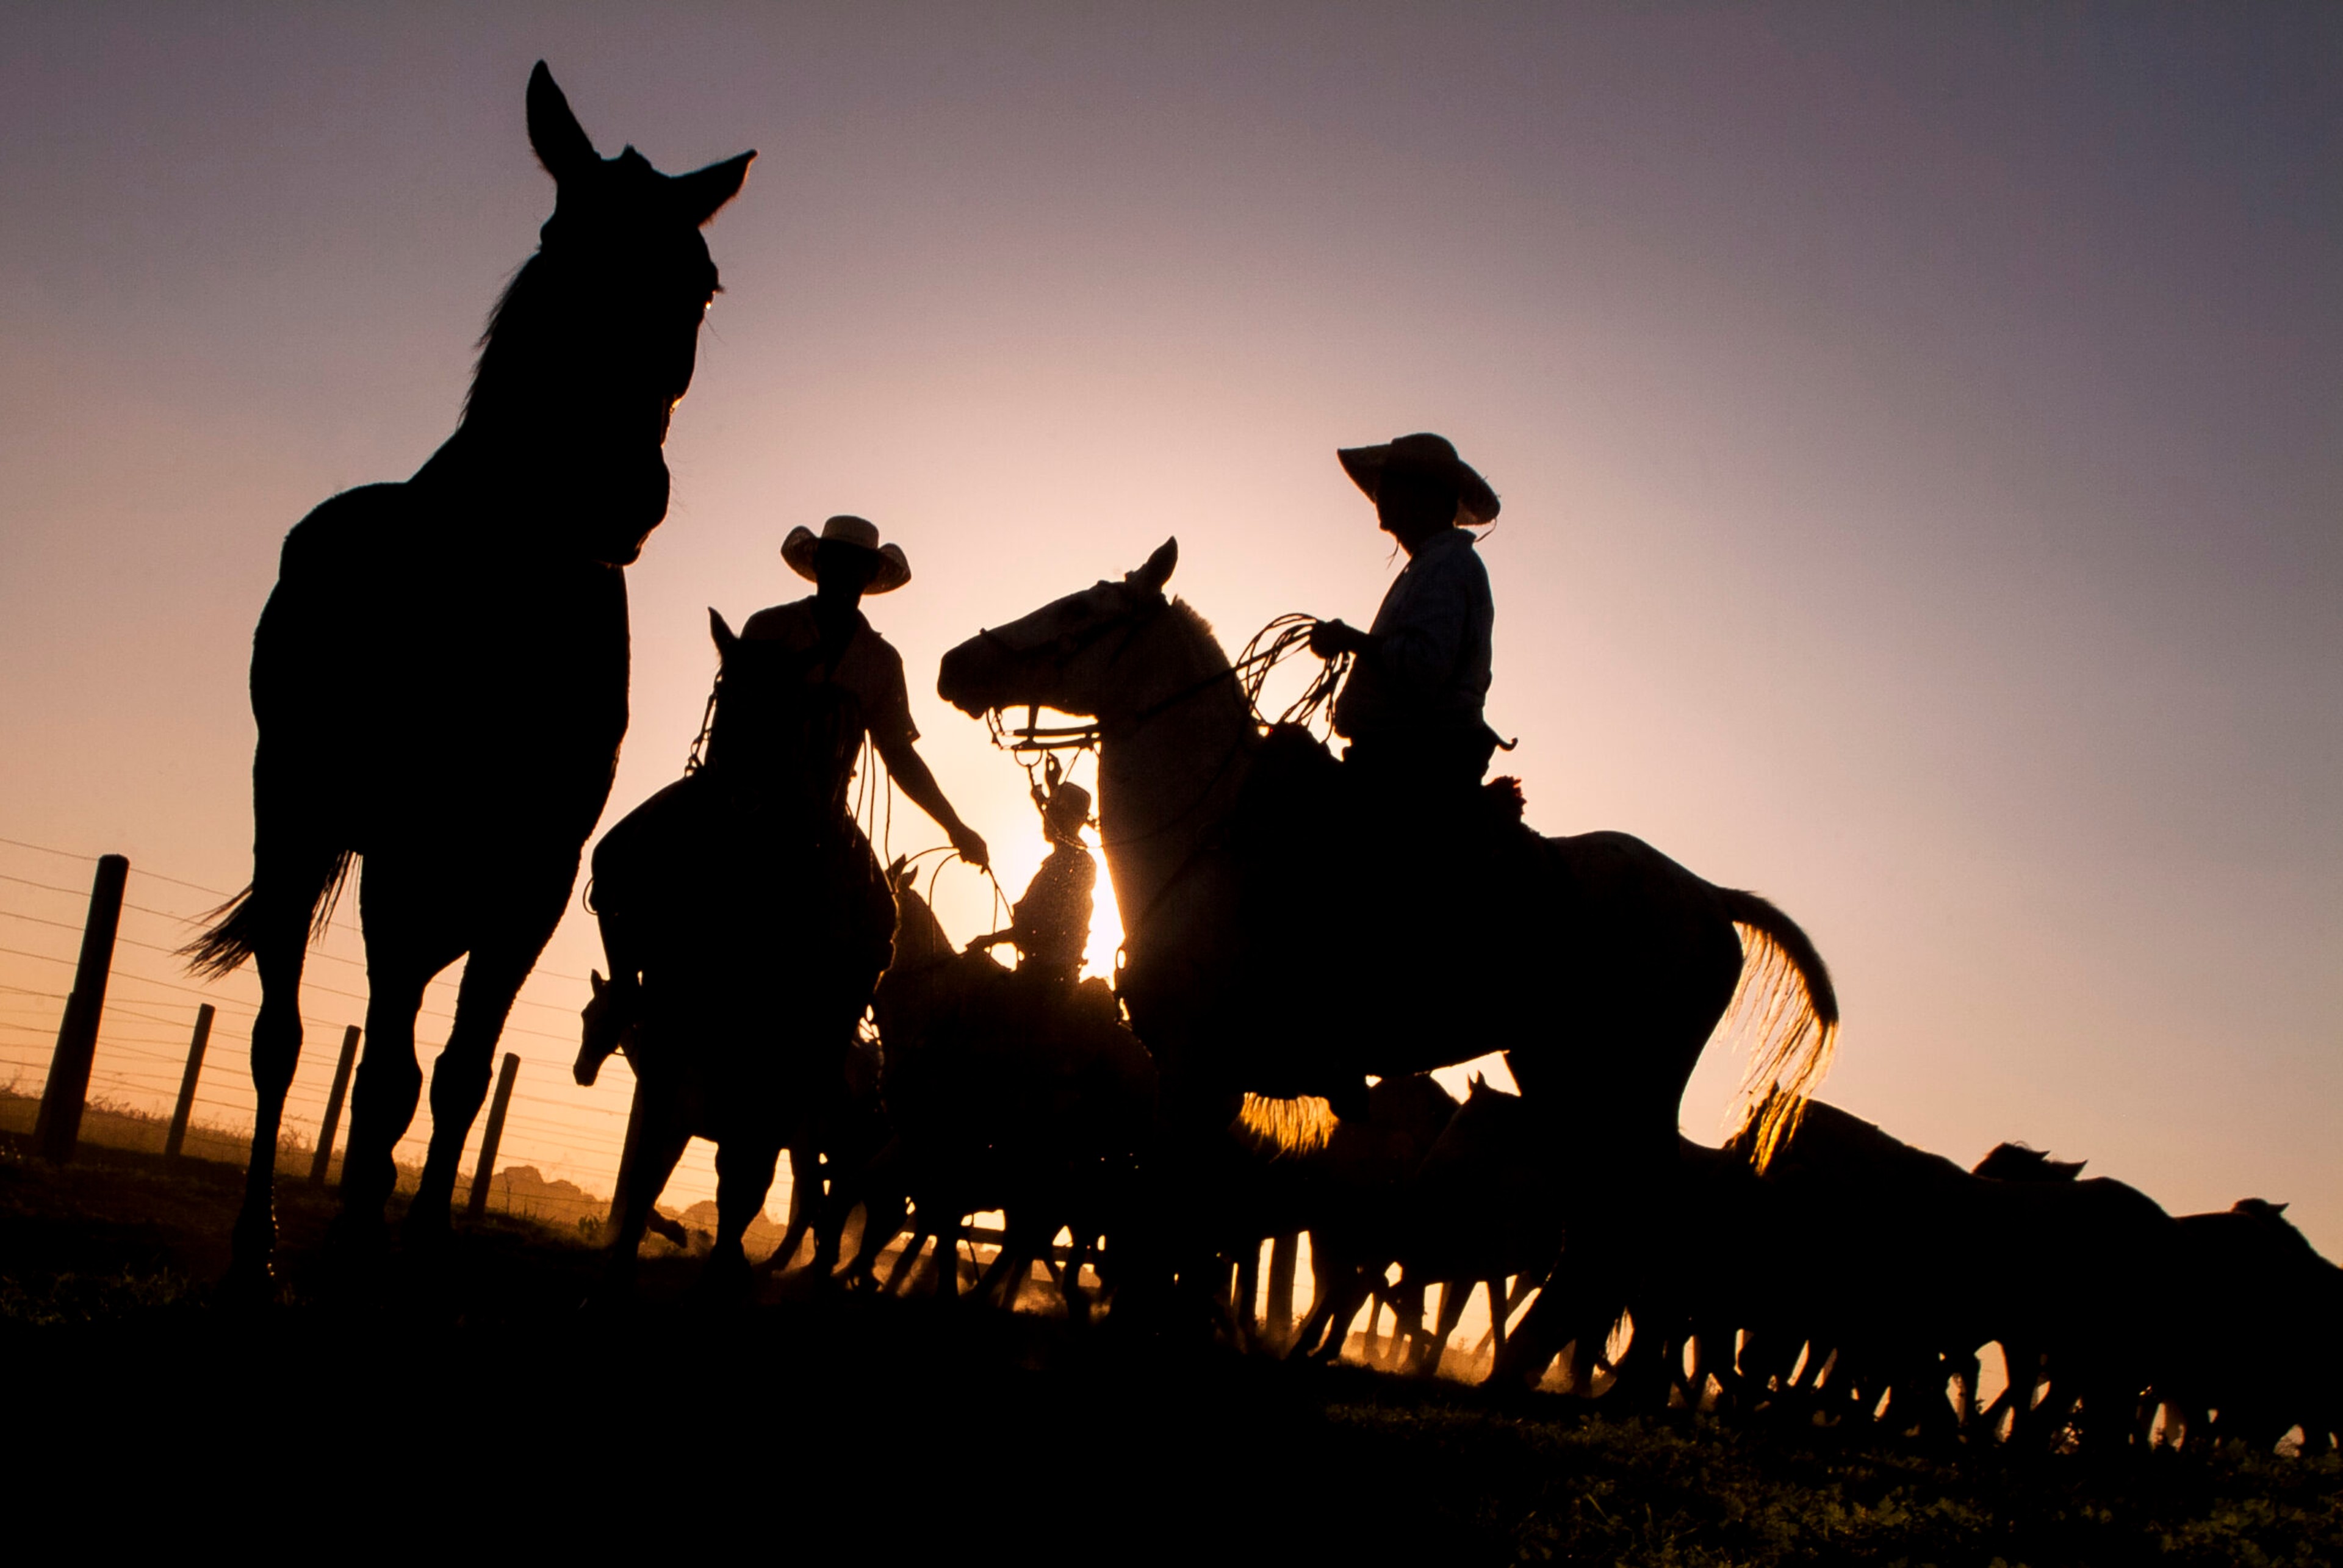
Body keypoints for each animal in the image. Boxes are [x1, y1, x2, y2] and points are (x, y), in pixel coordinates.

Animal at [935, 538, 1840, 1363]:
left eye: (1081, 610)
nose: (955, 663)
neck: (1208, 831)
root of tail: (1709, 896)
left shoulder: (1196, 1068)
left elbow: (1160, 1221)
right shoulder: (1206, 1082)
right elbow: (1178, 1231)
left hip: (1629, 1087)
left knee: (1622, 1240)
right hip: (1560, 1076)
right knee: (1594, 1239)